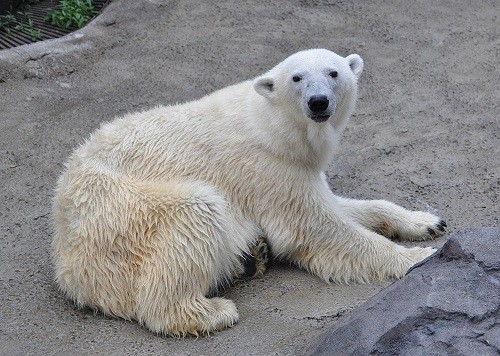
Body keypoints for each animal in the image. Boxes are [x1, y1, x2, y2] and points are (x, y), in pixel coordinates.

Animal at [52, 48, 448, 336]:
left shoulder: (290, 168)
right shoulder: (262, 166)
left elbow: (341, 207)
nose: (318, 101)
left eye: (334, 73)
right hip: (121, 212)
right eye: (297, 77)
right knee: (194, 213)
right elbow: (316, 226)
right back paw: (211, 311)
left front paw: (428, 222)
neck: (274, 126)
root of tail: (68, 267)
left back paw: (253, 256)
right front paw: (419, 258)